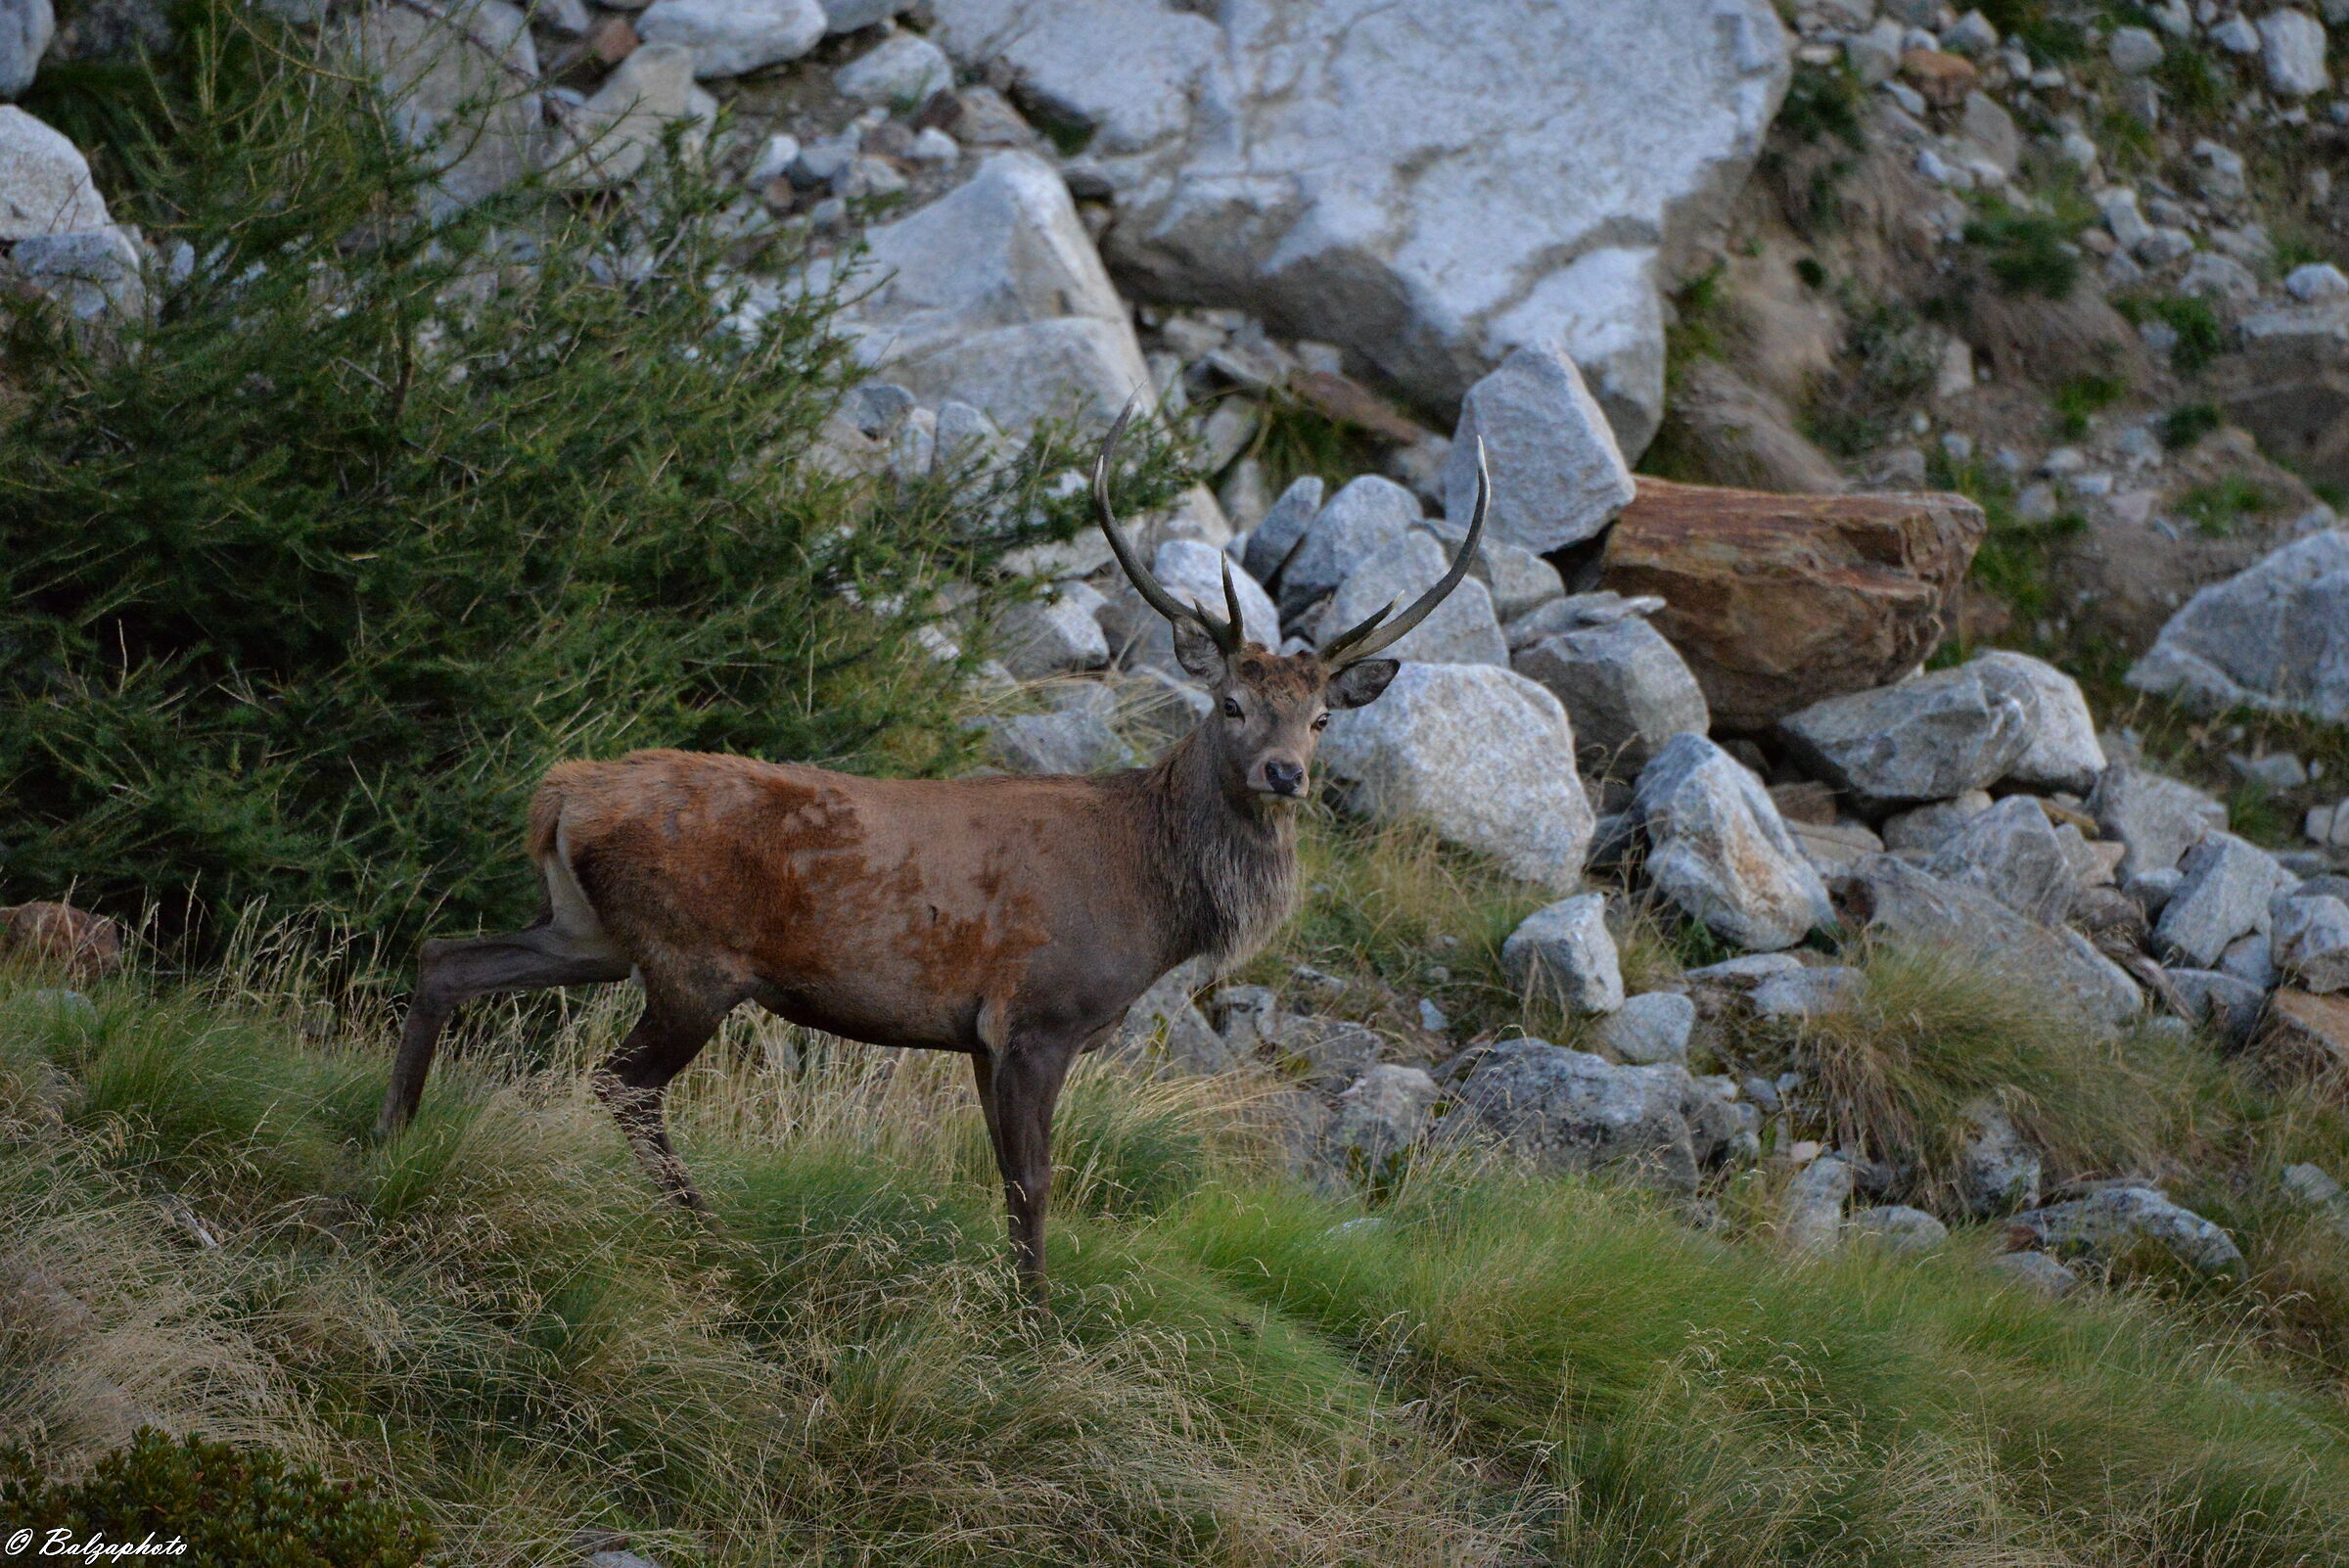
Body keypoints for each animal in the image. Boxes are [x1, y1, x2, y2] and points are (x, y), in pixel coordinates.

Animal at [374, 410, 1487, 1299]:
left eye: (1321, 720)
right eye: (1232, 705)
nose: (1283, 774)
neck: (1150, 900)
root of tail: (561, 791)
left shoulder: (982, 1039)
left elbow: (1004, 1175)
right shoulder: (1036, 1016)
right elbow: (1032, 1181)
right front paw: (1033, 1319)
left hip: (588, 929)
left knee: (446, 957)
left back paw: (394, 1134)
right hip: (692, 959)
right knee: (621, 1084)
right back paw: (711, 1234)